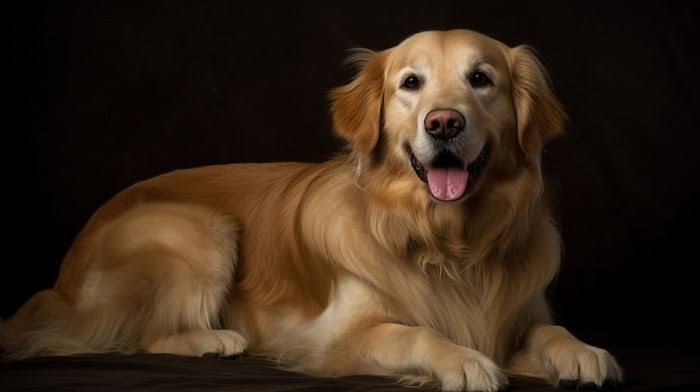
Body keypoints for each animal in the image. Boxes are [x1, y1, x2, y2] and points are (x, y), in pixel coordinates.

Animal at [1, 29, 624, 390]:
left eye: (481, 79)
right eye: (411, 82)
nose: (444, 122)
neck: (446, 242)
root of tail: (63, 277)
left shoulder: (523, 312)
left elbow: (551, 331)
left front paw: (582, 352)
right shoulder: (339, 337)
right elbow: (418, 333)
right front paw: (463, 360)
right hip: (200, 228)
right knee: (139, 336)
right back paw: (214, 340)